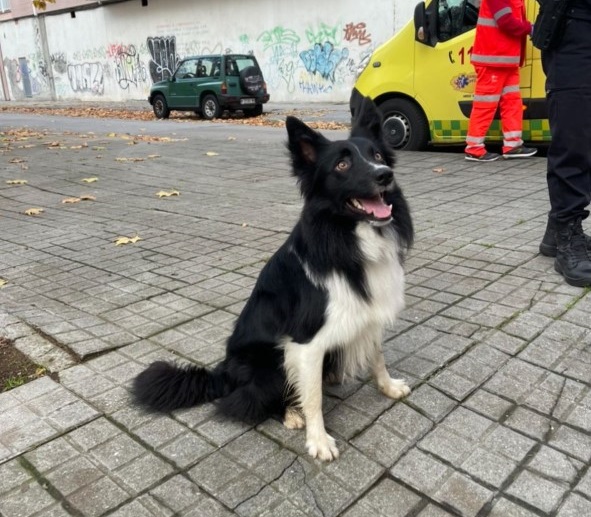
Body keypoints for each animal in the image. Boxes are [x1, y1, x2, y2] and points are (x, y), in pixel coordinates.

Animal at [132, 95, 414, 460]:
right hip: (268, 361)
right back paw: (290, 413)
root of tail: (222, 372)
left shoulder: (366, 312)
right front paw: (318, 440)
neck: (347, 238)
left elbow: (377, 357)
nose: (385, 175)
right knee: (247, 401)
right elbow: (313, 398)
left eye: (377, 156)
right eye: (341, 165)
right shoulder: (305, 342)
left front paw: (389, 387)